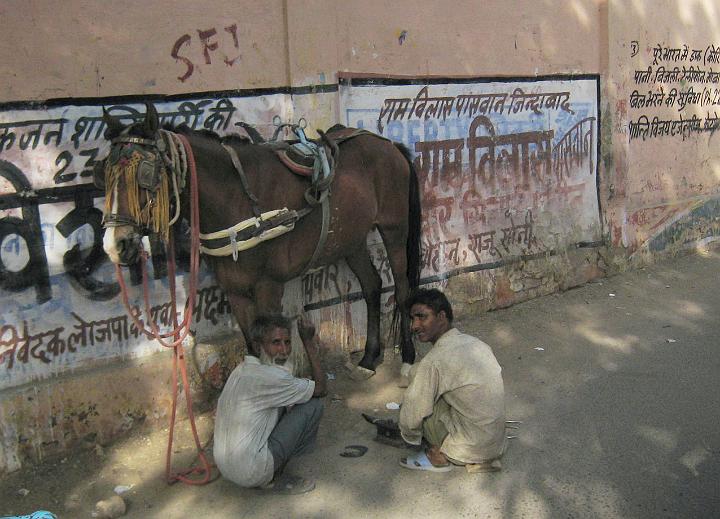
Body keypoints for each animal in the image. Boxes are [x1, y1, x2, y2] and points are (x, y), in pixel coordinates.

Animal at [96, 104, 422, 374]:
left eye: (145, 173)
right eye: (105, 173)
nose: (115, 245)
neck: (236, 197)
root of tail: (388, 144)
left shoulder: (268, 286)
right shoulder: (235, 290)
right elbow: (253, 347)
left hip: (394, 229)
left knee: (402, 289)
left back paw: (407, 358)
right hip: (351, 238)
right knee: (372, 286)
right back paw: (368, 358)